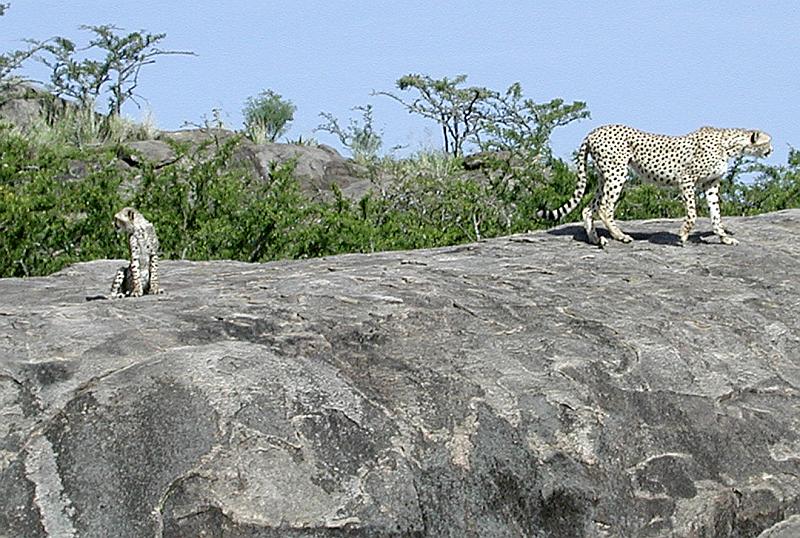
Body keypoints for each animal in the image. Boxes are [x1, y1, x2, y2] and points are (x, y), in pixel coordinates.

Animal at [537, 124, 773, 247]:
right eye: (768, 142)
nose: (771, 150)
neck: (729, 144)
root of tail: (594, 130)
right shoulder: (686, 180)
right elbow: (692, 213)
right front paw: (683, 236)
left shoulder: (710, 185)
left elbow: (716, 214)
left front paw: (723, 237)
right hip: (617, 173)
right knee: (605, 207)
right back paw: (620, 236)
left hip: (605, 176)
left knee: (588, 208)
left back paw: (596, 240)